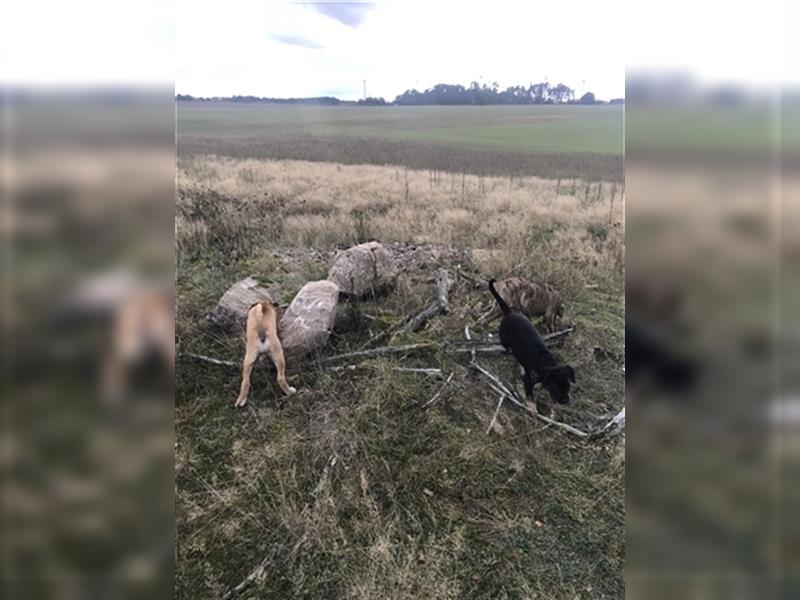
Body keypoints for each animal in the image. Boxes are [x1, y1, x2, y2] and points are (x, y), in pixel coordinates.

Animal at [488, 278, 576, 412]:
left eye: (568, 387)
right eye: (556, 387)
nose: (565, 401)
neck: (544, 362)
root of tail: (510, 313)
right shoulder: (528, 380)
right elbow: (530, 395)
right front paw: (532, 407)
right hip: (504, 334)